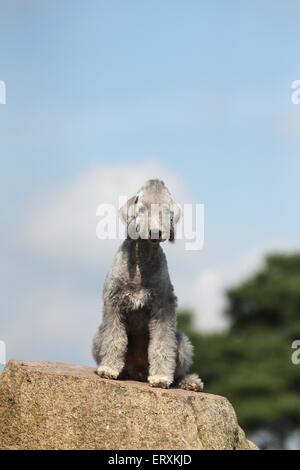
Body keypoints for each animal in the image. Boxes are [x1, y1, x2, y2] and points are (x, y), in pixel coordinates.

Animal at [92, 178, 203, 392]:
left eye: (167, 211)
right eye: (141, 209)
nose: (155, 232)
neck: (141, 260)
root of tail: (139, 372)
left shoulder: (163, 306)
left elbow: (162, 343)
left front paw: (160, 378)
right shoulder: (113, 303)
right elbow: (115, 338)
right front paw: (109, 369)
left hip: (183, 343)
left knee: (178, 369)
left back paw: (189, 382)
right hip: (97, 338)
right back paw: (122, 372)